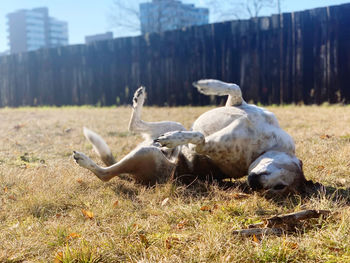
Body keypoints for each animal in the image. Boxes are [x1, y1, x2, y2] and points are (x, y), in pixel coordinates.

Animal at [72, 80, 308, 196]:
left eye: (280, 187)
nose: (255, 184)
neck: (267, 144)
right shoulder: (236, 104)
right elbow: (234, 87)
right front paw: (207, 84)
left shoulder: (204, 146)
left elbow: (200, 137)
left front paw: (174, 140)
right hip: (171, 125)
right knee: (135, 125)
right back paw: (140, 97)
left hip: (146, 154)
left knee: (105, 174)